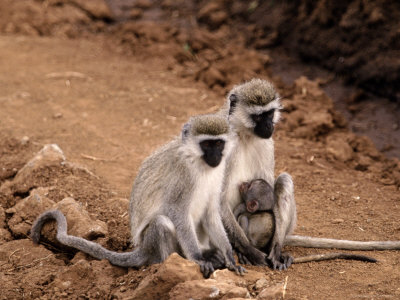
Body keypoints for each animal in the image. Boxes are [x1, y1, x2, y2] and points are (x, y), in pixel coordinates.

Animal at [31, 113, 245, 278]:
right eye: (207, 144)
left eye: (219, 143)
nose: (215, 156)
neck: (199, 163)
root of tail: (142, 249)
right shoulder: (183, 174)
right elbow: (176, 211)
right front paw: (198, 259)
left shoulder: (220, 172)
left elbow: (211, 214)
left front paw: (229, 256)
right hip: (151, 243)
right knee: (161, 223)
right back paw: (170, 263)